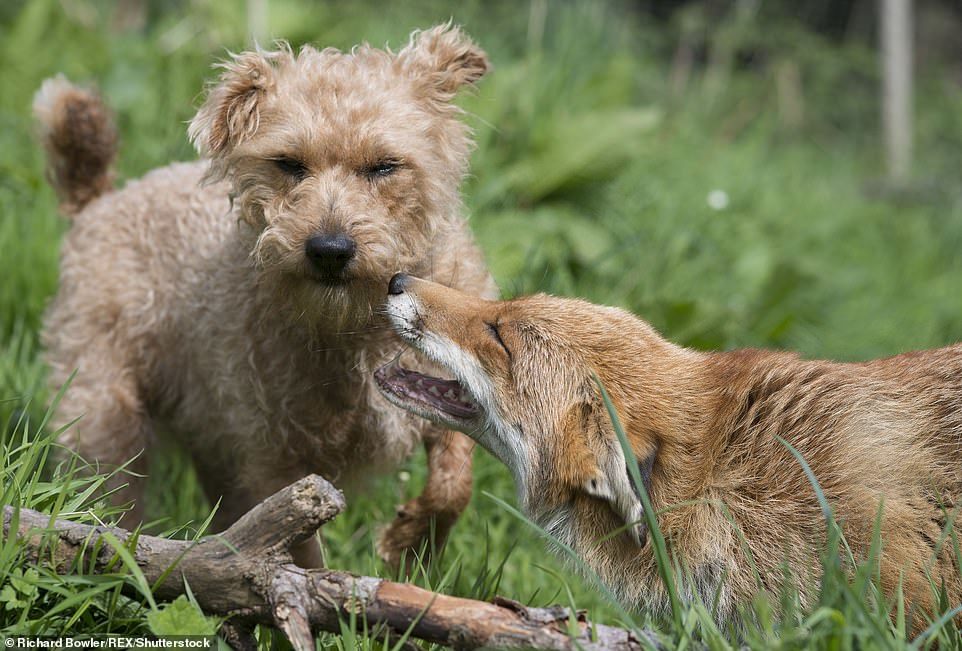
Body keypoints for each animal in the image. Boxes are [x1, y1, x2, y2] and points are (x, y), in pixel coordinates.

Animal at [31, 24, 496, 572]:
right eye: (288, 164)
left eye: (385, 166)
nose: (329, 250)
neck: (356, 325)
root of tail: (100, 199)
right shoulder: (276, 458)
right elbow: (297, 549)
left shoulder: (456, 392)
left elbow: (453, 485)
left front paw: (412, 541)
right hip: (105, 416)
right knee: (109, 500)